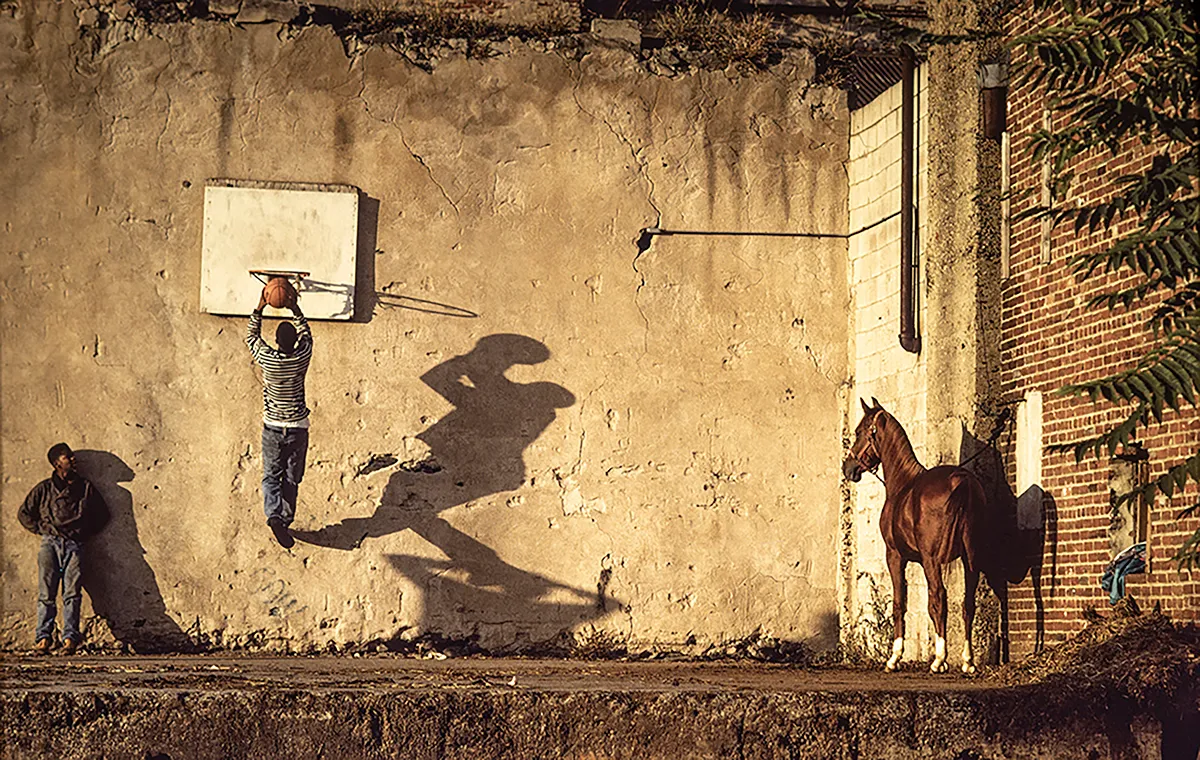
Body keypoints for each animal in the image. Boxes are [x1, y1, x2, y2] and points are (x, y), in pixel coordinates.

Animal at [844, 396, 1003, 667]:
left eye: (859, 431)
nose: (848, 467)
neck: (902, 484)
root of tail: (963, 481)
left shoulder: (895, 556)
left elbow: (901, 603)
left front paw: (894, 657)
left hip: (933, 560)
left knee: (940, 597)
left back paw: (939, 659)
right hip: (970, 559)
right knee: (967, 603)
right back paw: (967, 661)